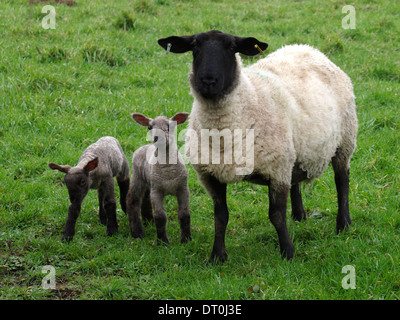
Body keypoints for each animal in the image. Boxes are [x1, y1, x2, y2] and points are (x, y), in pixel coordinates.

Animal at [127, 112, 191, 242]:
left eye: (169, 126)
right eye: (149, 127)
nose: (157, 138)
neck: (167, 170)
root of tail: (144, 146)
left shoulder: (183, 188)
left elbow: (184, 213)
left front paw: (186, 239)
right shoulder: (157, 191)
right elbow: (160, 216)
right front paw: (163, 241)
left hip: (149, 182)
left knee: (145, 199)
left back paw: (148, 221)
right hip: (138, 178)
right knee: (133, 201)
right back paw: (137, 233)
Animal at [159, 29, 360, 262]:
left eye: (231, 48)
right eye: (195, 47)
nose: (208, 81)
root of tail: (306, 48)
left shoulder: (276, 170)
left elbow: (276, 215)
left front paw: (288, 252)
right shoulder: (210, 175)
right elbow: (221, 216)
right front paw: (217, 256)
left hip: (345, 141)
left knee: (342, 181)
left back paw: (343, 224)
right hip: (294, 150)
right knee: (296, 179)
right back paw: (299, 216)